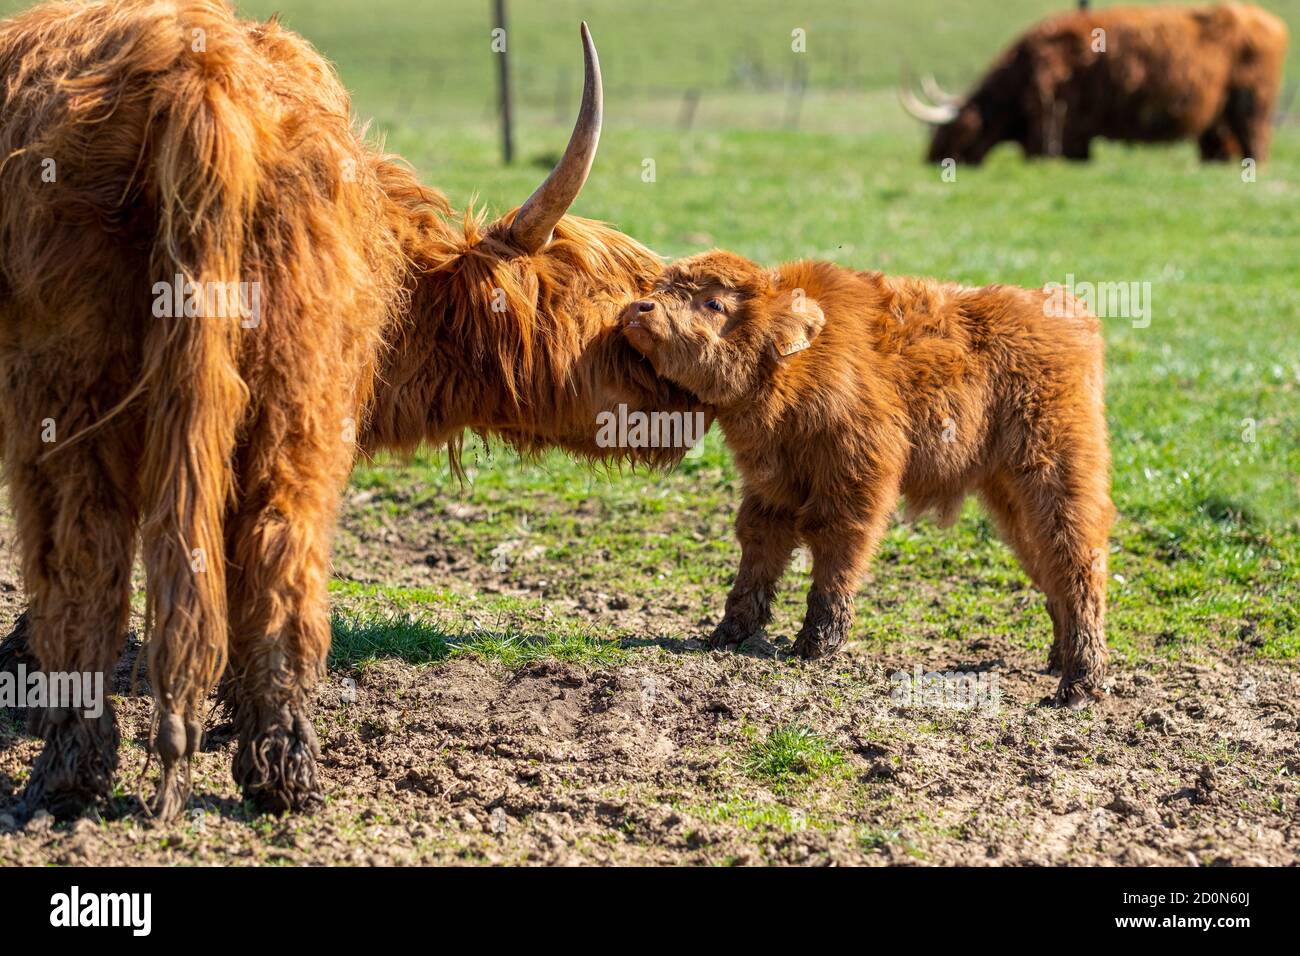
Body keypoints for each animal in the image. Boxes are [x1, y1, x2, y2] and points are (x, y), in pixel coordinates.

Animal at [624, 251, 1112, 707]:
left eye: (714, 302)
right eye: (660, 286)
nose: (641, 307)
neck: (794, 370)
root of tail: (1064, 308)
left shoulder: (858, 474)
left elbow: (838, 545)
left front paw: (816, 644)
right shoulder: (770, 484)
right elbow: (758, 547)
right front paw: (727, 634)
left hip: (1059, 473)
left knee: (1077, 559)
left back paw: (1080, 682)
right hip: (1010, 493)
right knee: (1045, 561)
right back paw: (1059, 659)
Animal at [904, 3, 1289, 164]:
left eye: (950, 133)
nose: (931, 159)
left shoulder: (1058, 127)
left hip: (1253, 109)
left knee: (1257, 144)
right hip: (1219, 122)